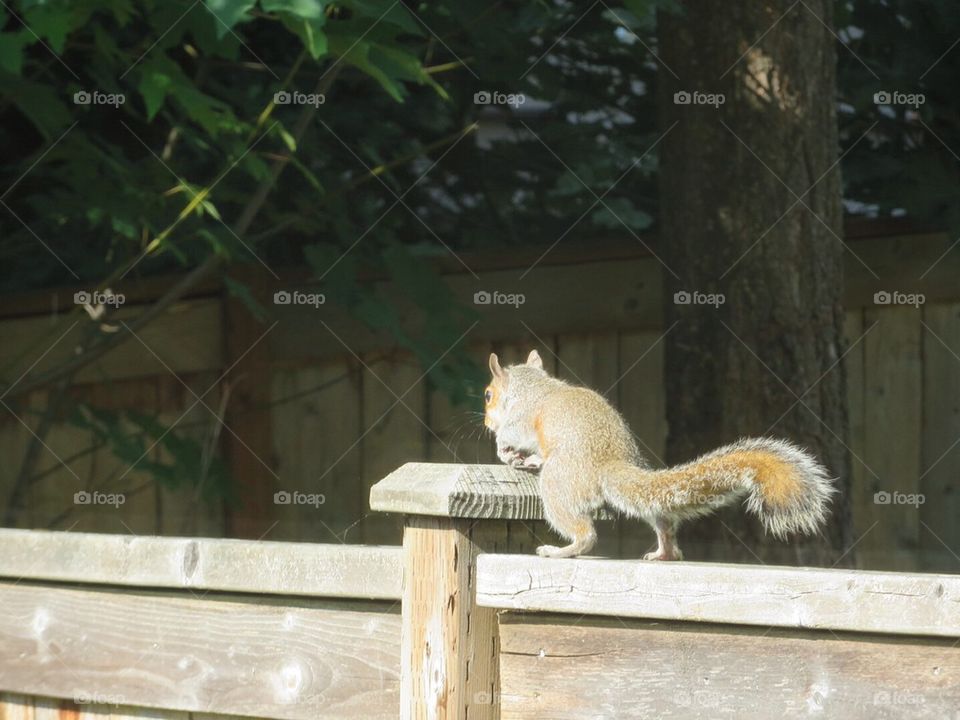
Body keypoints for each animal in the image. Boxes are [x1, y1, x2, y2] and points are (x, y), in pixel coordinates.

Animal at [484, 352, 836, 560]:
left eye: (488, 394)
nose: (486, 421)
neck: (533, 387)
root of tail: (611, 464)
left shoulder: (521, 420)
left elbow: (511, 435)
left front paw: (504, 449)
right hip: (646, 506)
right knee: (662, 520)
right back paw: (664, 553)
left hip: (560, 482)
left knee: (584, 532)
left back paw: (561, 550)